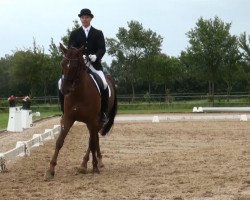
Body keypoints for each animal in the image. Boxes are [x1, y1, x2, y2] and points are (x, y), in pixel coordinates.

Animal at [44, 43, 117, 180]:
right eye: (63, 63)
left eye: (75, 66)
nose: (65, 90)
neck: (79, 93)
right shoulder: (68, 118)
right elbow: (59, 141)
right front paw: (50, 170)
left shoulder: (92, 120)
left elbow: (91, 143)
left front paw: (94, 168)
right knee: (94, 138)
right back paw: (95, 162)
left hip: (97, 121)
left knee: (92, 140)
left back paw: (87, 164)